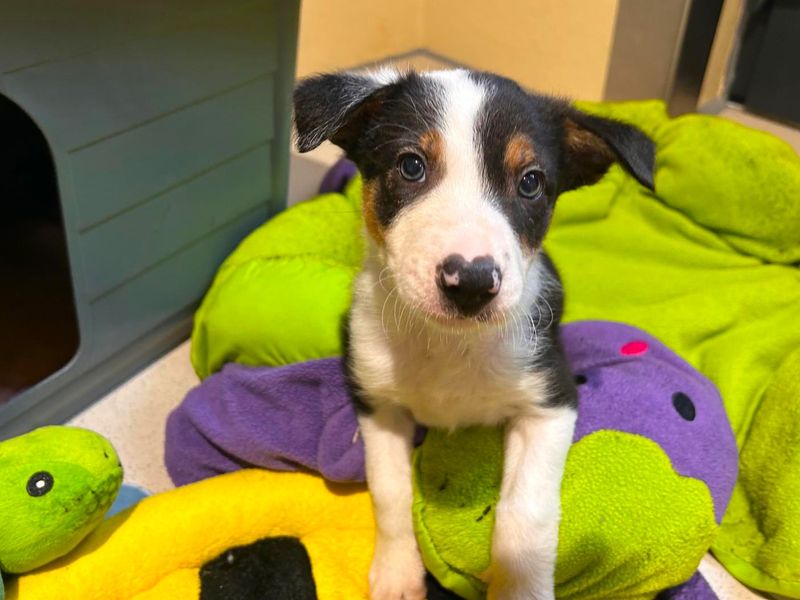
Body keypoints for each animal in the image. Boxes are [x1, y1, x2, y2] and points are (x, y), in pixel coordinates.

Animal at [290, 68, 652, 600]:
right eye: (411, 166)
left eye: (530, 182)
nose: (472, 283)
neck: (450, 342)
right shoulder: (377, 401)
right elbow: (391, 491)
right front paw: (397, 571)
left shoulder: (551, 400)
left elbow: (526, 513)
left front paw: (521, 589)